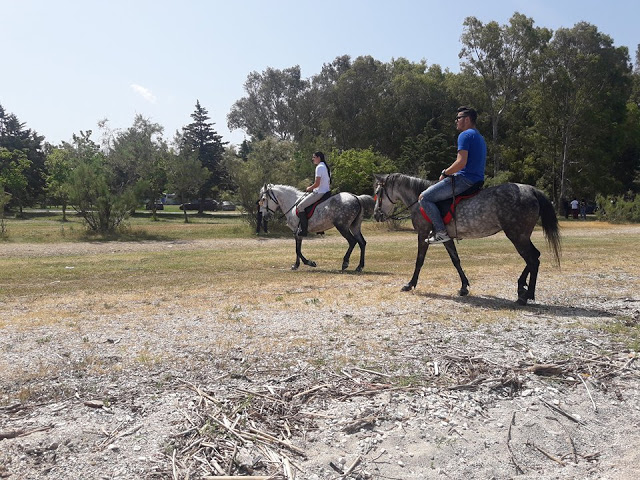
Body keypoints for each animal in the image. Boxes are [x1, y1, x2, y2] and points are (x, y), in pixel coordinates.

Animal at [372, 174, 564, 306]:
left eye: (378, 193)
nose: (376, 215)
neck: (420, 201)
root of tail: (531, 190)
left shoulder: (423, 233)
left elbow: (419, 260)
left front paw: (410, 284)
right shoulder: (446, 237)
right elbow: (455, 260)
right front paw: (464, 286)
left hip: (517, 235)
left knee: (532, 259)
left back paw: (526, 295)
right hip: (521, 235)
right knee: (535, 257)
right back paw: (522, 287)